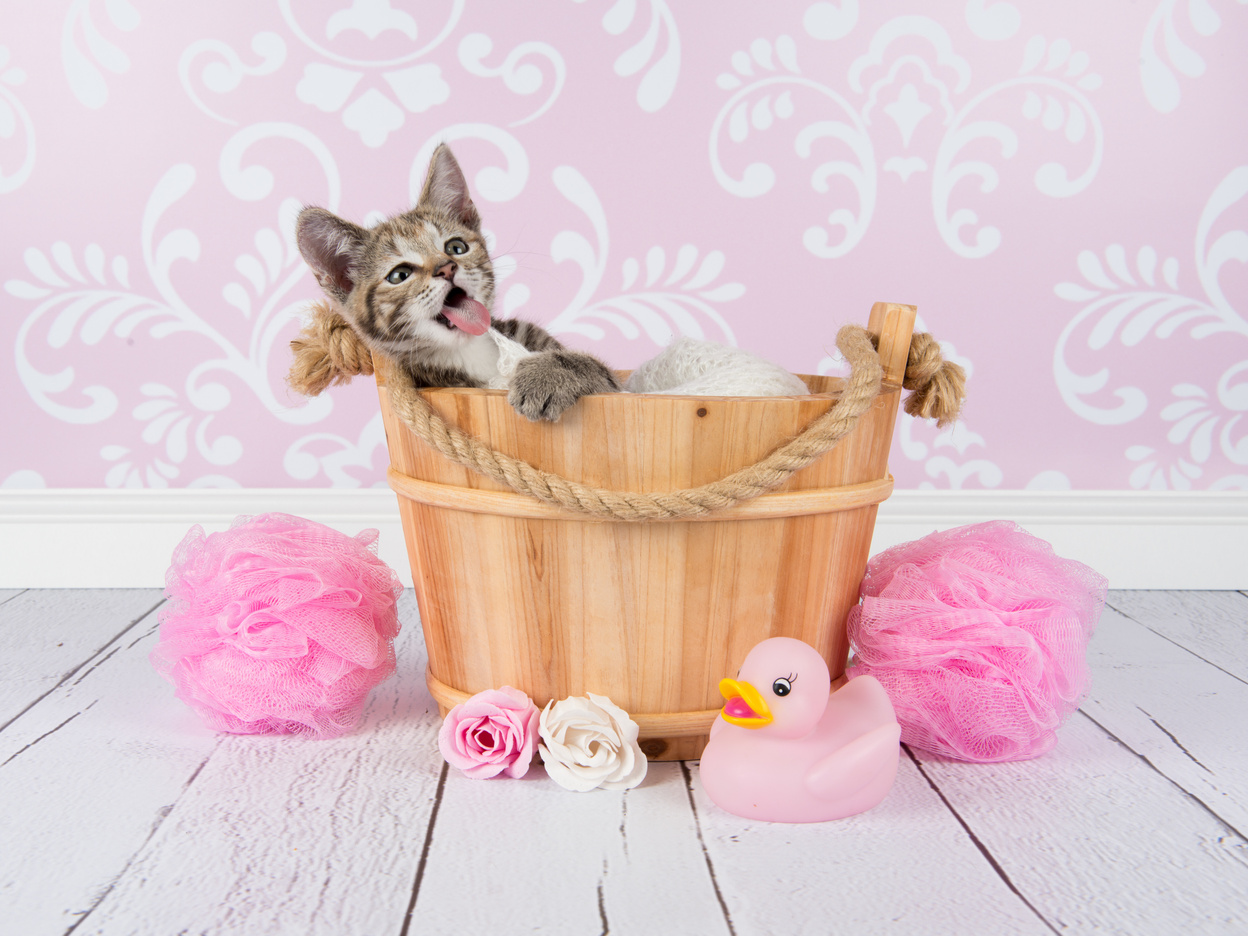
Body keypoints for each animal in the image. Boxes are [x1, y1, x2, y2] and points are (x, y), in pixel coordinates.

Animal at [297, 142, 619, 421]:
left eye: (456, 247)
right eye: (399, 275)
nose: (447, 268)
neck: (469, 350)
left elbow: (600, 371)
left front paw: (547, 373)